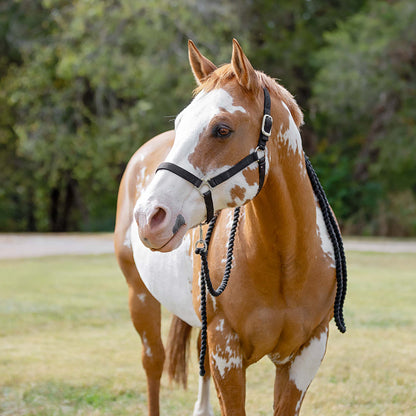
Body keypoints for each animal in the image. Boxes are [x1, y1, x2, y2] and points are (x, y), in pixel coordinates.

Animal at [114, 39, 344, 416]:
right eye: (181, 123)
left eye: (222, 129)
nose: (149, 216)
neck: (286, 263)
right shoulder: (228, 356)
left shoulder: (306, 355)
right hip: (141, 297)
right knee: (154, 363)